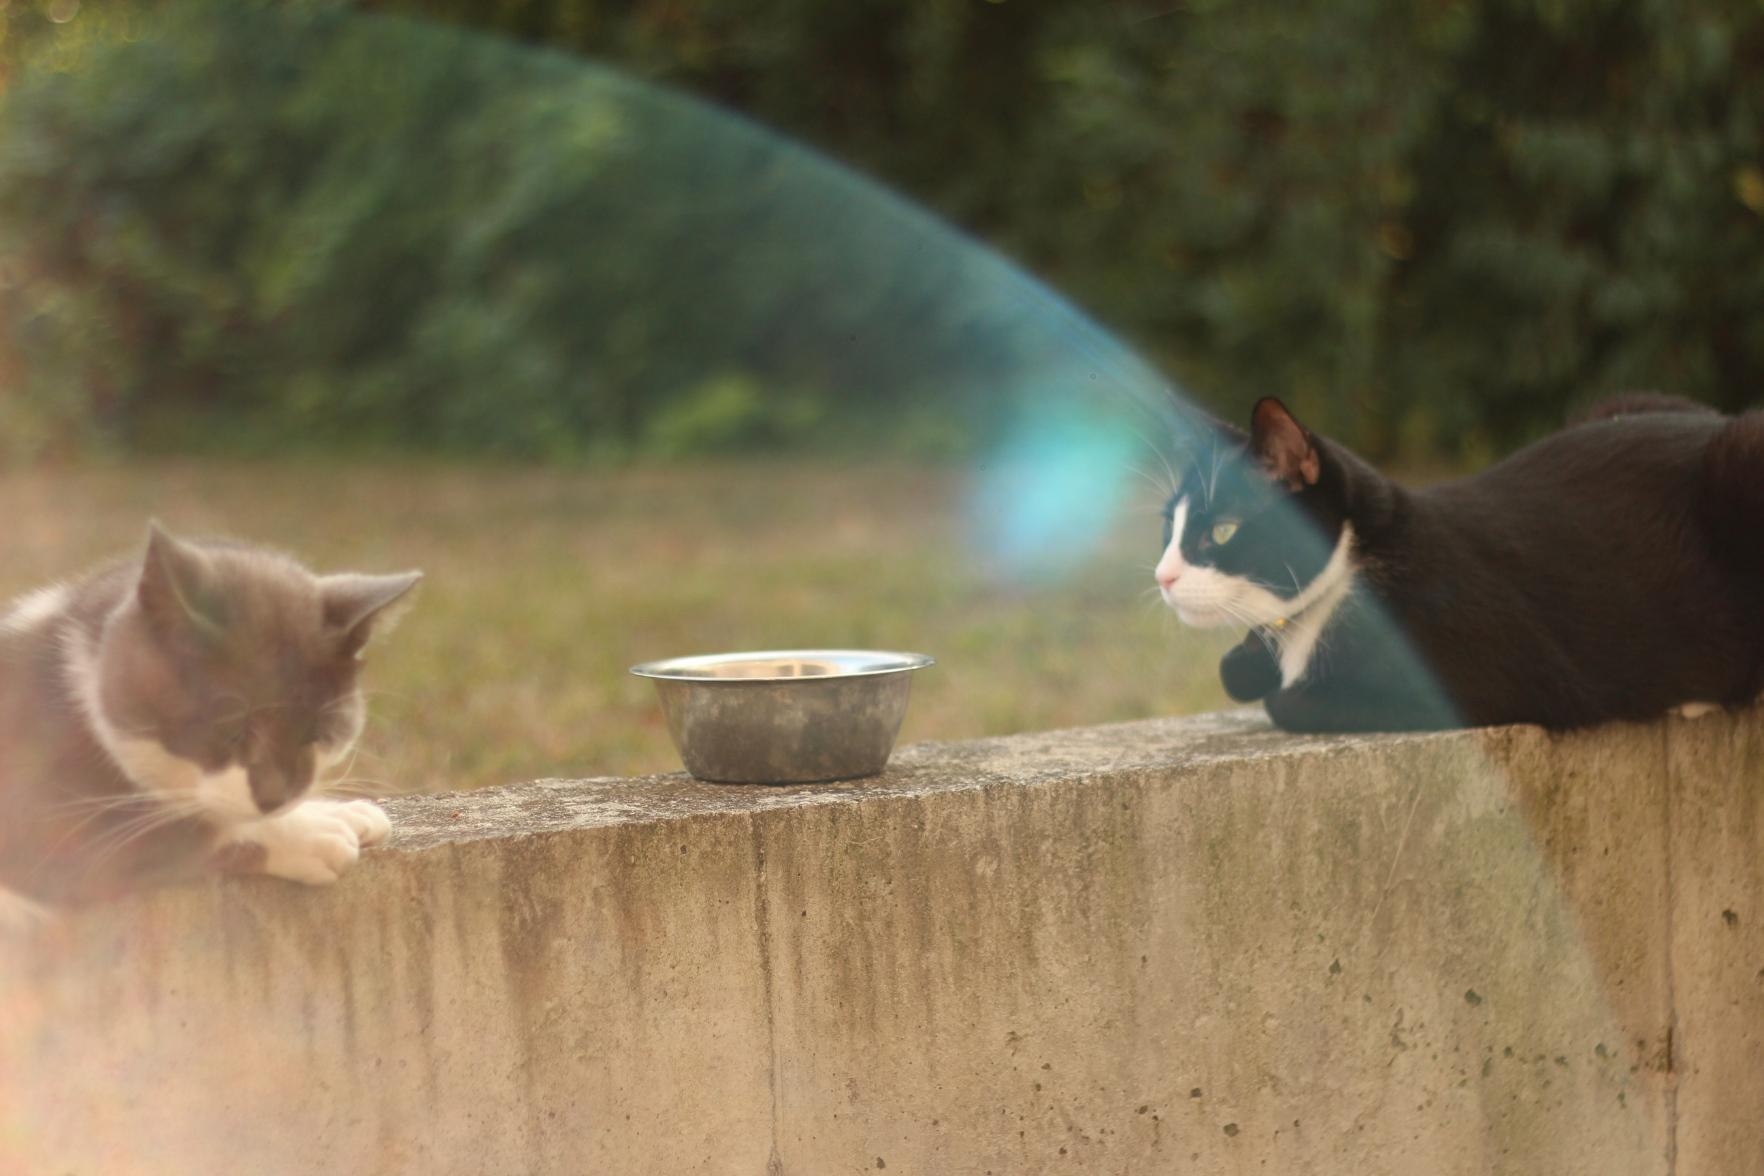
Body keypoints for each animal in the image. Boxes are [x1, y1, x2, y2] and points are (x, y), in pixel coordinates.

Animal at [0, 525, 419, 930]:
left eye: (316, 735)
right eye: (229, 730)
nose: (273, 798)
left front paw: (343, 812)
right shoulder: (40, 814)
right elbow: (170, 835)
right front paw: (315, 833)